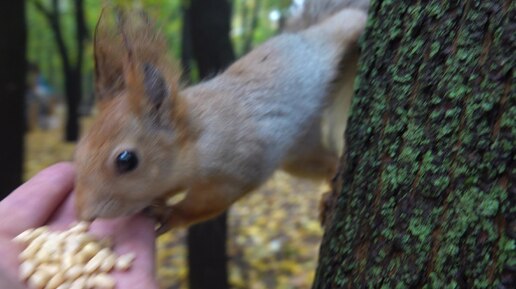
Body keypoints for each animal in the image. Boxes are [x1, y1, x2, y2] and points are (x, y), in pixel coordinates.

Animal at [74, 0, 368, 232]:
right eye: (80, 147)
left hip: (324, 48)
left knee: (347, 21)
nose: (84, 214)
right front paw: (156, 201)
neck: (198, 134)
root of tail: (297, 34)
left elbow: (208, 203)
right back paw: (332, 184)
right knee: (325, 161)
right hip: (298, 154)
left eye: (126, 160)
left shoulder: (240, 167)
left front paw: (170, 214)